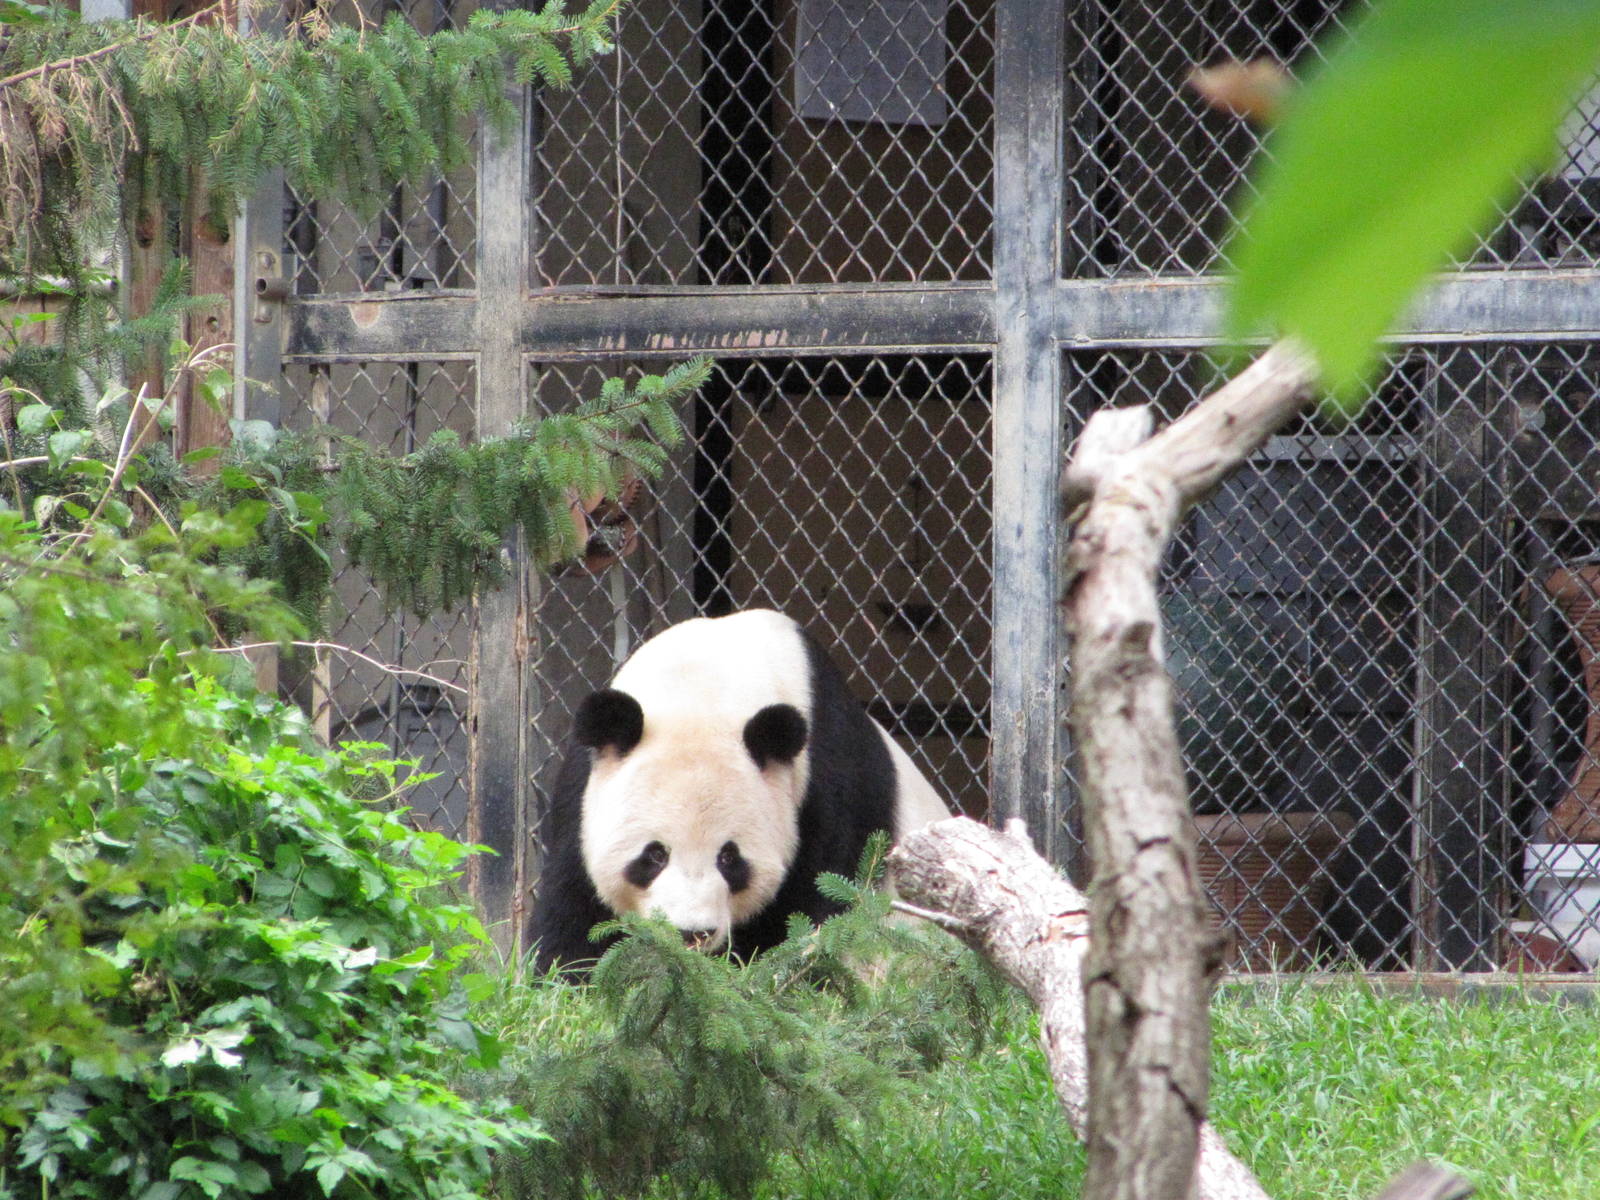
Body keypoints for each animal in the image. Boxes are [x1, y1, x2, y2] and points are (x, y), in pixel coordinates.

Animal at [528, 609, 952, 973]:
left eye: (729, 858)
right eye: (654, 856)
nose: (692, 934)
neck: (701, 688)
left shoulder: (825, 781)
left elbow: (819, 902)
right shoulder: (585, 788)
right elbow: (574, 897)